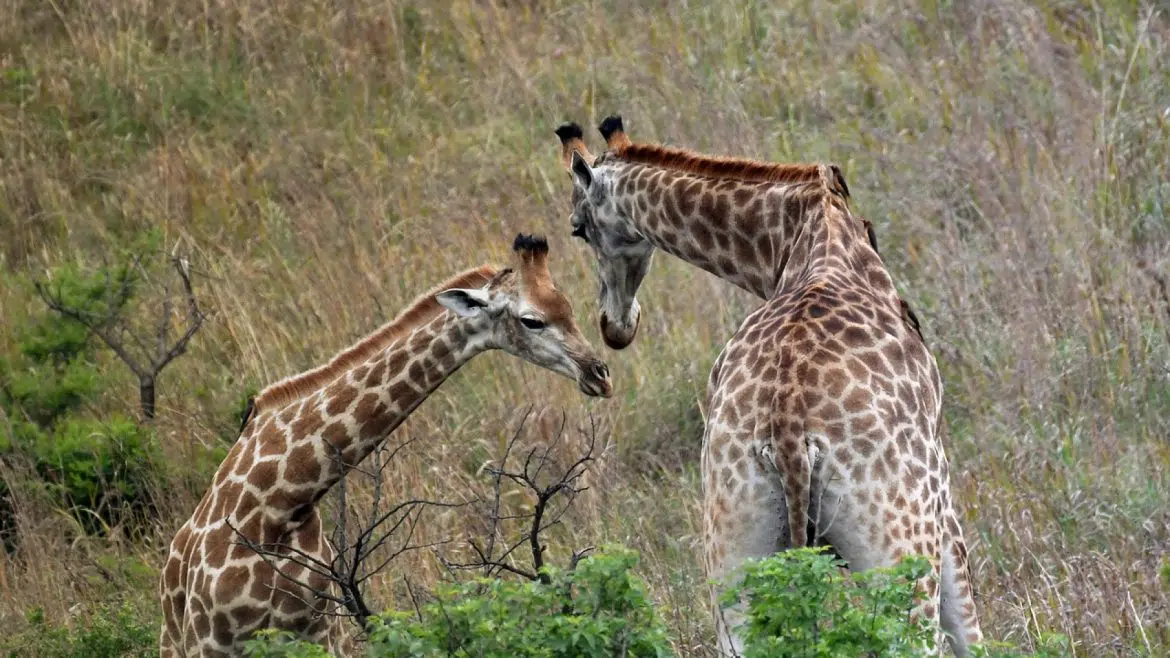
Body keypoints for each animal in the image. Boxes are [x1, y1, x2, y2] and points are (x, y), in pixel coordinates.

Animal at [161, 232, 617, 650]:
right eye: (531, 320)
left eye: (569, 308)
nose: (600, 375)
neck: (280, 504)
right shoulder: (210, 640)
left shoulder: (323, 631)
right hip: (174, 641)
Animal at [552, 118, 982, 655]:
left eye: (577, 227)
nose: (614, 327)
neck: (793, 234)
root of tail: (789, 432)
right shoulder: (945, 510)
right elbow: (972, 631)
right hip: (899, 550)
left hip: (733, 553)